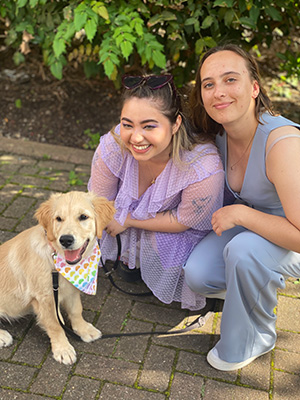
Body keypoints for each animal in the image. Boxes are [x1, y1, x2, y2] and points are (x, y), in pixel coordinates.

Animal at [0, 192, 115, 364]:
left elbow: (76, 311)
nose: (65, 240)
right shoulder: (44, 299)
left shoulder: (71, 290)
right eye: (58, 219)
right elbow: (55, 325)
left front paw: (84, 329)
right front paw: (63, 349)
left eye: (83, 217)